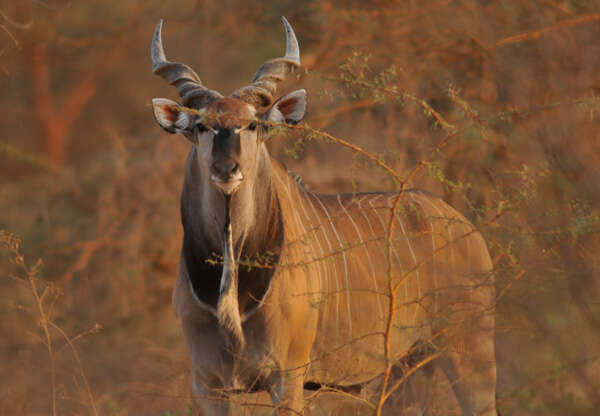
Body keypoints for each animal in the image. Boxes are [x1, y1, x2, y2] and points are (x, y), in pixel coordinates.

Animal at [150, 17, 496, 416]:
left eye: (252, 125)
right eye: (201, 126)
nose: (226, 168)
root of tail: (467, 228)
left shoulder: (287, 377)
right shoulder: (208, 384)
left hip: (470, 352)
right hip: (408, 365)